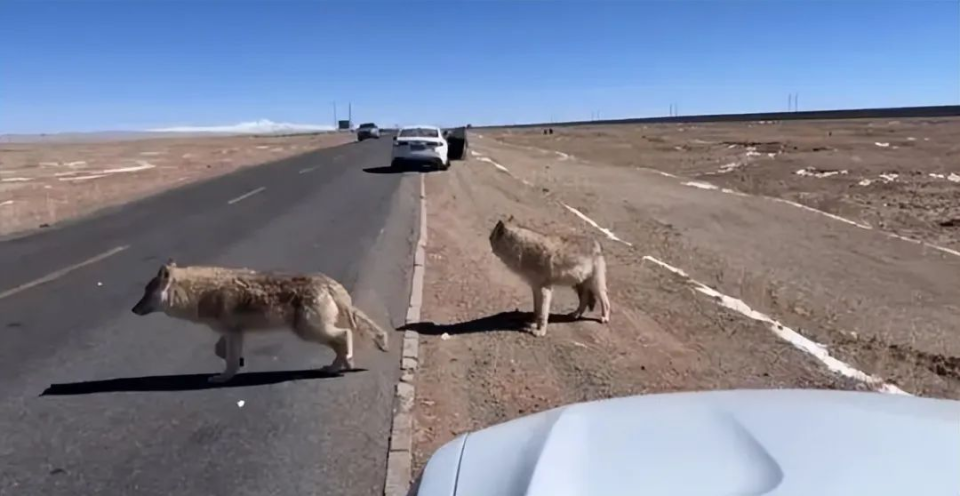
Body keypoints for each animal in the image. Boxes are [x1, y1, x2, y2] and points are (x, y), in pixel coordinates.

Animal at [131, 260, 390, 384]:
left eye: (145, 293)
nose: (133, 309)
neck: (199, 293)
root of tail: (329, 282)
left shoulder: (233, 332)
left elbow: (229, 360)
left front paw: (223, 378)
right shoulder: (233, 332)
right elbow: (221, 351)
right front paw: (238, 364)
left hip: (308, 331)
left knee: (344, 335)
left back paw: (343, 364)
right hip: (312, 331)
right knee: (343, 339)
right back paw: (338, 366)